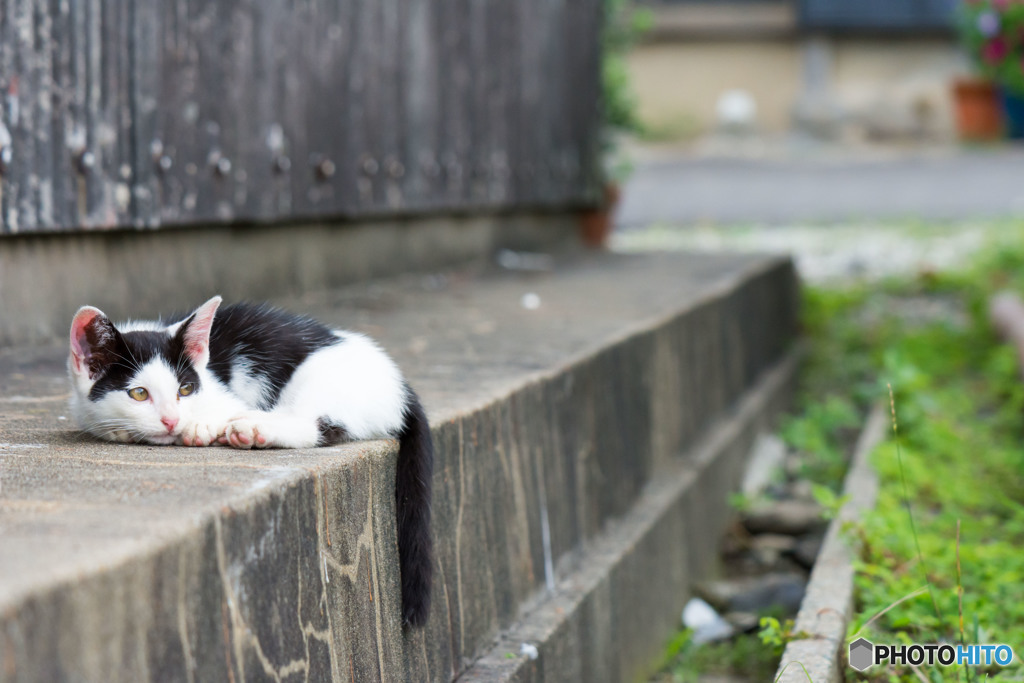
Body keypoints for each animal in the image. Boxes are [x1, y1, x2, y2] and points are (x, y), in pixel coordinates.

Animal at [67, 296, 436, 626]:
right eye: (139, 394)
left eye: (185, 389)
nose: (172, 420)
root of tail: (401, 388)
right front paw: (120, 430)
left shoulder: (222, 393)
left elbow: (222, 410)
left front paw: (202, 424)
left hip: (323, 382)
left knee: (314, 424)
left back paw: (252, 427)